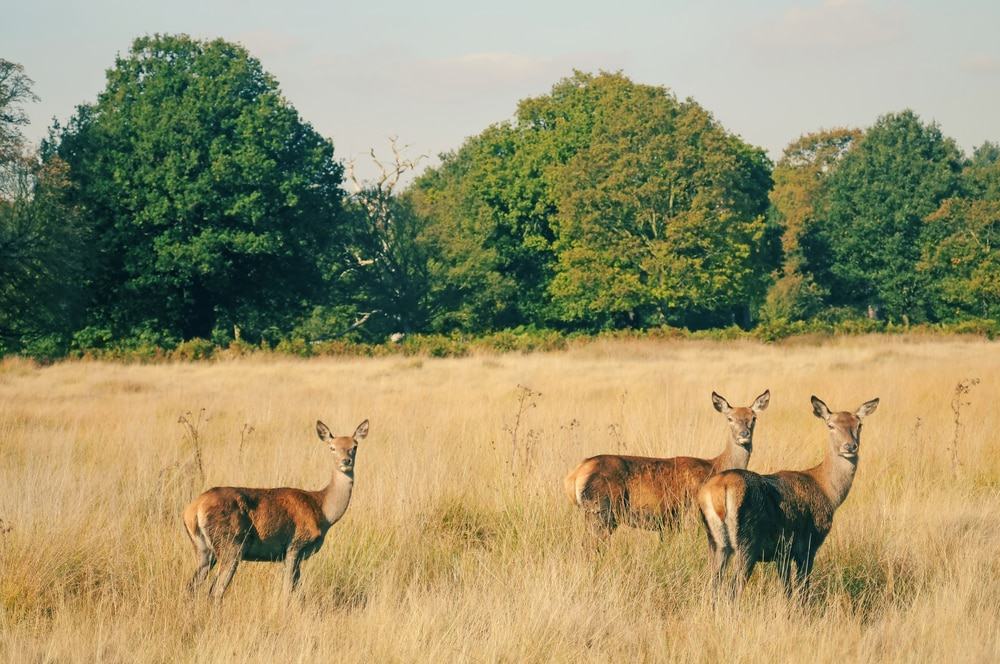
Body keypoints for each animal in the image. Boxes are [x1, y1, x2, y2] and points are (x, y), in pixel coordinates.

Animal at [182, 418, 370, 600]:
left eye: (354, 446)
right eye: (332, 447)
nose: (346, 461)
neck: (322, 510)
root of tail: (193, 510)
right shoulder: (295, 546)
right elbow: (289, 591)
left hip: (204, 550)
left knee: (191, 587)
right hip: (231, 545)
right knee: (215, 591)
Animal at [564, 390, 772, 540]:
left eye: (754, 418)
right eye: (730, 418)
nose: (744, 434)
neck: (716, 466)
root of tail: (574, 475)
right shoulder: (691, 514)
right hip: (602, 510)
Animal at [700, 396, 880, 600]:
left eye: (859, 424)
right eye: (831, 425)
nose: (849, 446)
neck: (827, 491)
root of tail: (720, 489)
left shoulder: (782, 553)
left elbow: (787, 589)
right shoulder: (808, 545)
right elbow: (802, 590)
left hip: (716, 543)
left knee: (714, 586)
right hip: (747, 543)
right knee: (733, 588)